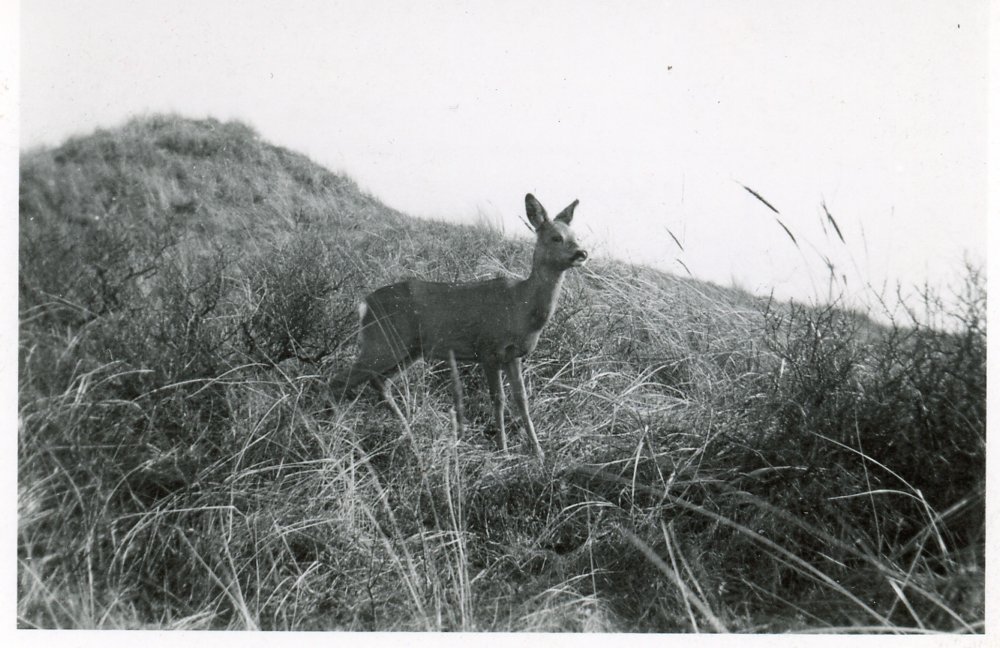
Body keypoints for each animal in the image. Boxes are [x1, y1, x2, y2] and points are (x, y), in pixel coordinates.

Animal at [334, 192, 584, 460]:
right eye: (556, 237)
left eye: (576, 236)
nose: (582, 253)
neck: (523, 308)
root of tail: (365, 305)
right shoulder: (488, 349)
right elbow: (498, 399)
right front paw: (503, 449)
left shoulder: (514, 355)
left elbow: (522, 400)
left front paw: (539, 452)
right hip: (381, 342)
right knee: (338, 379)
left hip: (407, 350)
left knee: (379, 382)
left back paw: (407, 431)